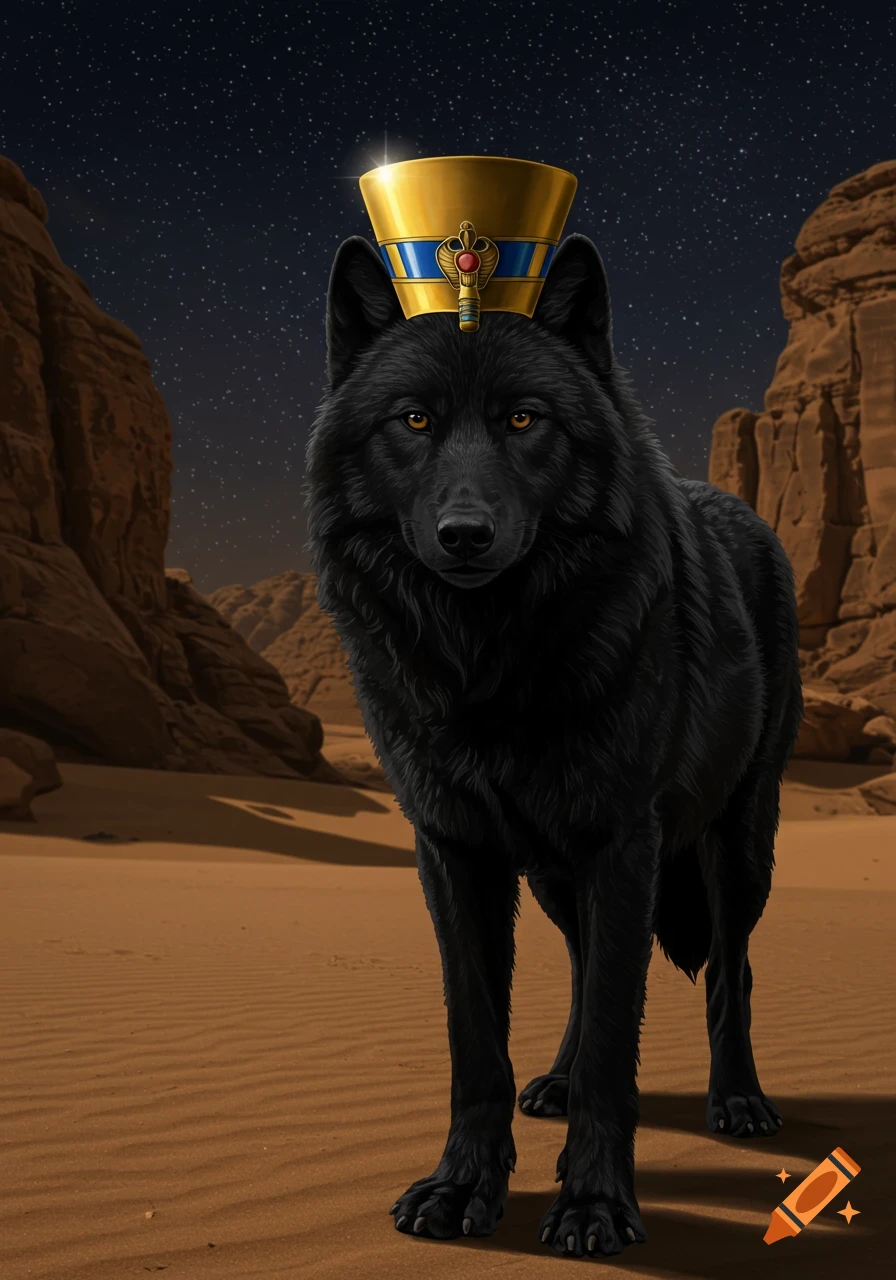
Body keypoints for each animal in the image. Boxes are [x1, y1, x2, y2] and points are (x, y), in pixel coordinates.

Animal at [303, 231, 804, 1259]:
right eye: (414, 420)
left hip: (736, 843)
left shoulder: (623, 842)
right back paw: (560, 1085)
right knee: (581, 965)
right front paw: (462, 1189)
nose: (464, 534)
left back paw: (738, 1101)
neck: (489, 667)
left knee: (728, 967)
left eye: (524, 419)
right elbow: (477, 1040)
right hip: (551, 871)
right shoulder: (453, 851)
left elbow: (619, 1032)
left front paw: (594, 1206)